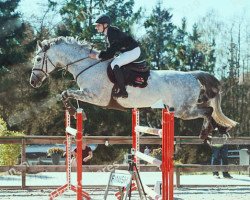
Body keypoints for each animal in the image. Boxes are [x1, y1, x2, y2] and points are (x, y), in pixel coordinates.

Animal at [29, 36, 236, 140]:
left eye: (38, 59)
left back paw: (206, 133)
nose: (33, 82)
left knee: (208, 110)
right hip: (181, 109)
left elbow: (66, 93)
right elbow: (65, 94)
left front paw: (74, 111)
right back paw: (217, 130)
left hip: (183, 110)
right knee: (208, 110)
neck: (88, 65)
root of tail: (192, 75)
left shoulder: (95, 97)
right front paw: (73, 111)